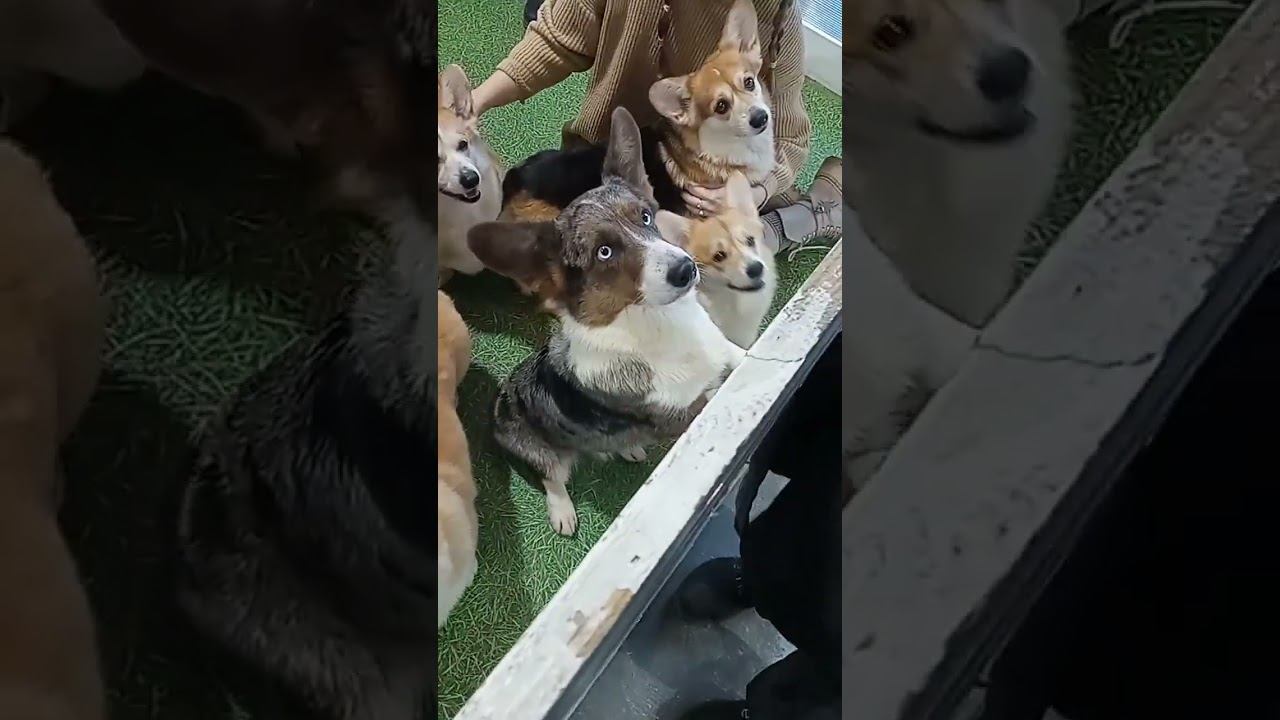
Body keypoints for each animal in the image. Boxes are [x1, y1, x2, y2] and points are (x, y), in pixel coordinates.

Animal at [467, 107, 745, 536]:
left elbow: (742, 356)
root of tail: (497, 406)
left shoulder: (722, 349)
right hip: (544, 452)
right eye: (604, 252)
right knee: (552, 476)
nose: (686, 270)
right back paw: (562, 511)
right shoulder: (682, 412)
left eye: (646, 216)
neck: (661, 324)